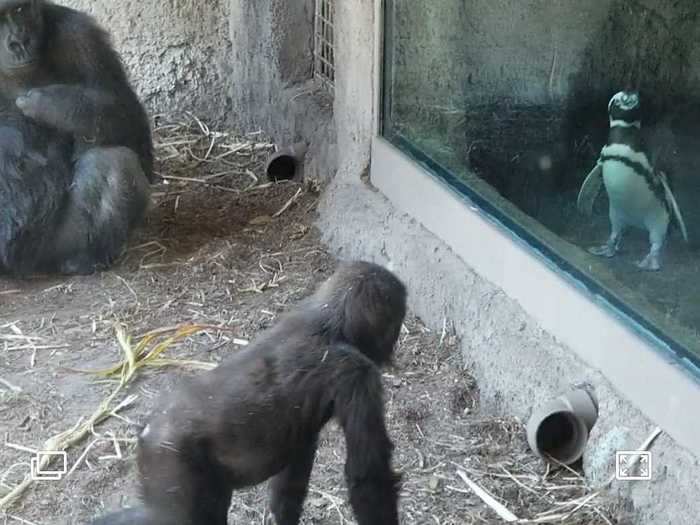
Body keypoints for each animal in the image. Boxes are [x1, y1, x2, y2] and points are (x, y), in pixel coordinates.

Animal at [0, 0, 153, 276]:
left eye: (19, 10)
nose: (19, 42)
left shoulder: (79, 36)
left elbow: (131, 121)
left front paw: (51, 103)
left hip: (51, 249)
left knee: (113, 162)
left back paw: (86, 257)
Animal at [91, 260, 404, 520]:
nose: (391, 349)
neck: (329, 322)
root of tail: (146, 431)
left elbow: (291, 483)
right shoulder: (357, 375)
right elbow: (367, 479)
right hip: (170, 462)